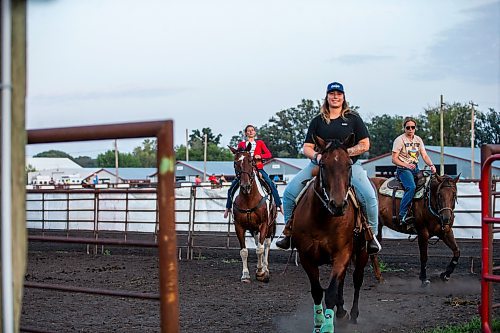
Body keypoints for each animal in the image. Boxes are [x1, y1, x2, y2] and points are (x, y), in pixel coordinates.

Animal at [229, 144, 278, 282]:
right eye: (235, 163)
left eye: (251, 161)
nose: (245, 186)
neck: (248, 198)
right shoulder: (239, 226)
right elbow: (244, 251)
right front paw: (245, 275)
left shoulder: (264, 224)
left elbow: (260, 249)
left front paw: (261, 273)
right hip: (254, 229)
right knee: (257, 242)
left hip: (270, 227)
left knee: (266, 245)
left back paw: (265, 268)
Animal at [292, 135, 370, 332]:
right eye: (323, 165)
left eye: (348, 164)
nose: (338, 204)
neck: (323, 218)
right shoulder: (306, 256)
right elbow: (317, 291)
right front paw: (319, 322)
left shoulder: (342, 253)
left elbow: (331, 292)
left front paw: (327, 326)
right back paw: (341, 312)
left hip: (363, 252)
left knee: (357, 280)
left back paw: (352, 315)